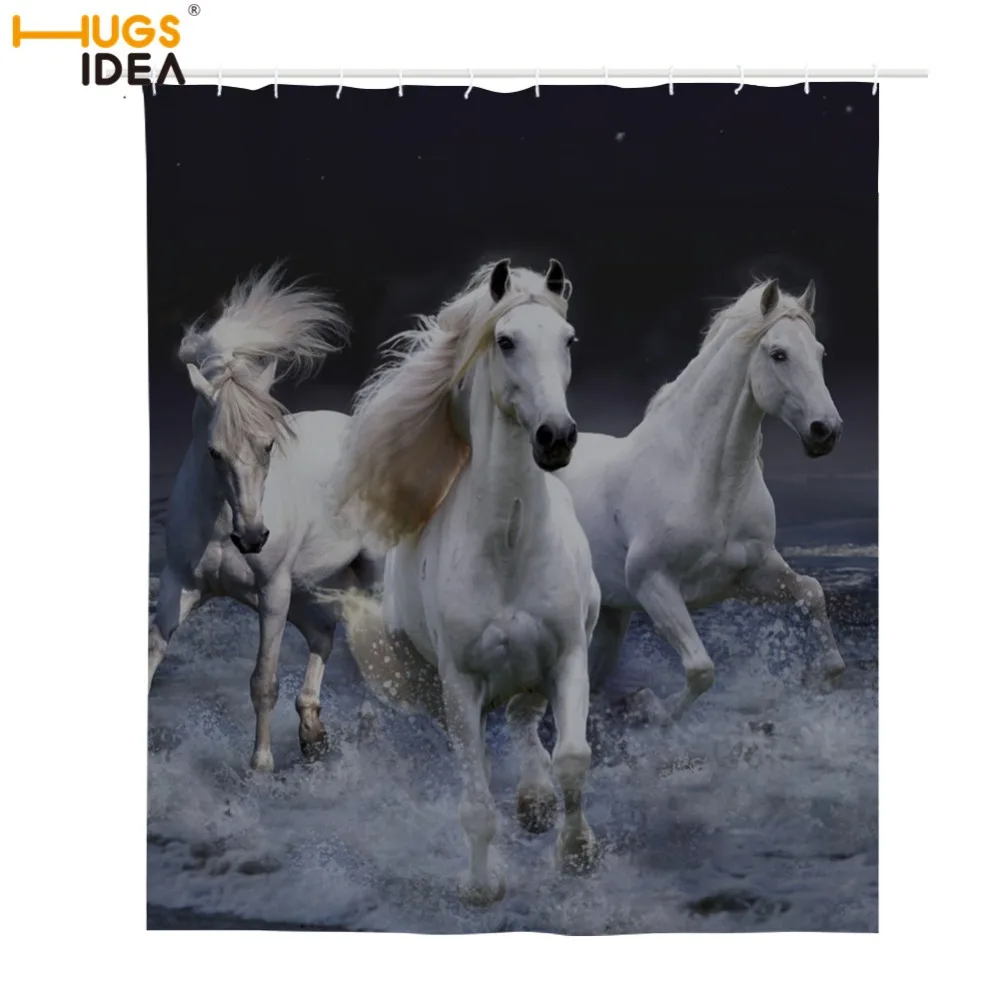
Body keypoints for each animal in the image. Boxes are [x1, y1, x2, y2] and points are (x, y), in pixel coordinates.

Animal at [147, 265, 380, 772]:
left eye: (269, 444)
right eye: (214, 451)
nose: (253, 537)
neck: (221, 525)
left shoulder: (273, 591)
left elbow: (263, 682)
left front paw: (260, 769)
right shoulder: (179, 586)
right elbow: (149, 660)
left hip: (366, 575)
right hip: (309, 588)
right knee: (323, 635)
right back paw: (312, 732)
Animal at [331, 259, 602, 906]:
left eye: (568, 340)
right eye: (505, 341)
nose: (556, 437)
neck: (508, 545)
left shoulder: (568, 655)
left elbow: (572, 757)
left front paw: (577, 853)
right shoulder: (460, 683)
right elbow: (476, 802)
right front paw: (483, 886)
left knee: (526, 719)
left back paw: (535, 802)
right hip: (435, 685)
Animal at [549, 277, 847, 731]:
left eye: (819, 352)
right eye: (778, 354)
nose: (826, 431)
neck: (703, 481)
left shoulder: (750, 575)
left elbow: (812, 593)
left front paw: (819, 678)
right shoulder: (654, 584)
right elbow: (701, 670)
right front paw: (648, 707)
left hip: (611, 617)